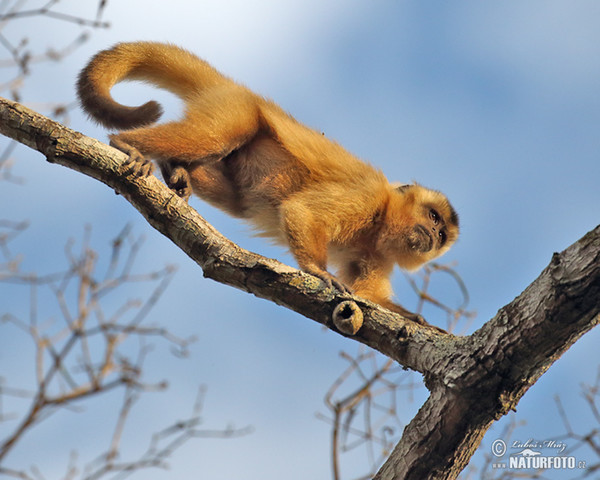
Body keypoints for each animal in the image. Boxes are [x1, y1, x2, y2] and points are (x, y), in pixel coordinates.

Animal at [76, 42, 460, 326]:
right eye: (433, 217)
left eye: (441, 233)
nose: (432, 235)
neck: (381, 223)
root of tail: (241, 91)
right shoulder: (366, 197)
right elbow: (303, 211)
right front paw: (317, 270)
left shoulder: (378, 254)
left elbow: (368, 297)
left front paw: (412, 318)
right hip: (234, 110)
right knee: (215, 137)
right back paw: (125, 143)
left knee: (237, 196)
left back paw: (174, 169)